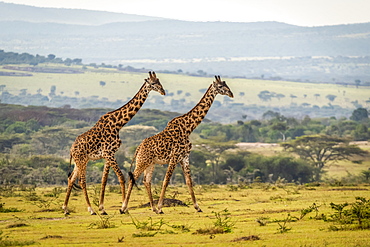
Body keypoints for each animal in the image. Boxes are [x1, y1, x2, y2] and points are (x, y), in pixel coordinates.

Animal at [62, 71, 165, 214]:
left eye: (159, 81)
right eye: (154, 83)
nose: (163, 91)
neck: (118, 123)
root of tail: (71, 150)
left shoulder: (108, 155)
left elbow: (104, 180)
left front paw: (102, 208)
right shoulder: (109, 153)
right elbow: (121, 177)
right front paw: (123, 208)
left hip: (80, 161)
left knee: (71, 178)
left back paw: (66, 208)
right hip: (81, 160)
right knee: (82, 181)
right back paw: (90, 209)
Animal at [120, 75, 231, 214]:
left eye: (226, 85)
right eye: (221, 86)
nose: (231, 94)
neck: (188, 128)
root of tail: (138, 148)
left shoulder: (185, 157)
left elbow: (189, 181)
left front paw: (197, 207)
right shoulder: (174, 157)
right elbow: (166, 181)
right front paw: (160, 207)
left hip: (150, 163)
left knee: (146, 181)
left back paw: (152, 208)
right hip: (142, 161)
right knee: (133, 178)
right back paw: (124, 208)